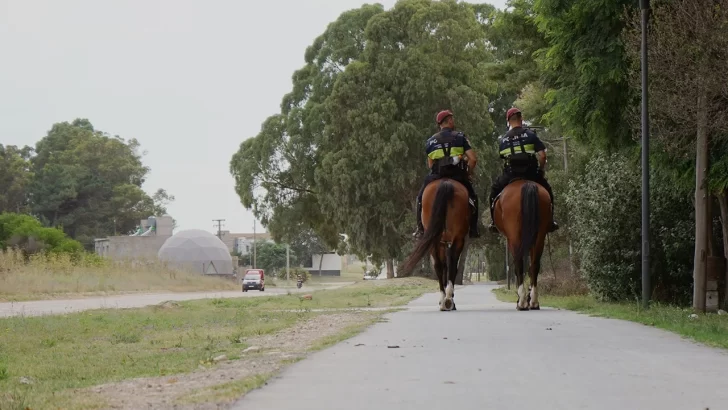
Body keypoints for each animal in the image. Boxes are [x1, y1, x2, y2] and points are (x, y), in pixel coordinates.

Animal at [400, 177, 470, 310]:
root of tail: (446, 183)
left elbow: (445, 266)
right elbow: (447, 266)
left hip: (439, 239)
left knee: (441, 265)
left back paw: (446, 300)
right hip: (452, 239)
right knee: (448, 264)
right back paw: (447, 300)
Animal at [494, 179, 552, 310]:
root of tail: (527, 184)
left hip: (515, 236)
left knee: (519, 264)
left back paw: (521, 302)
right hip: (539, 235)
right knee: (534, 265)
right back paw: (534, 302)